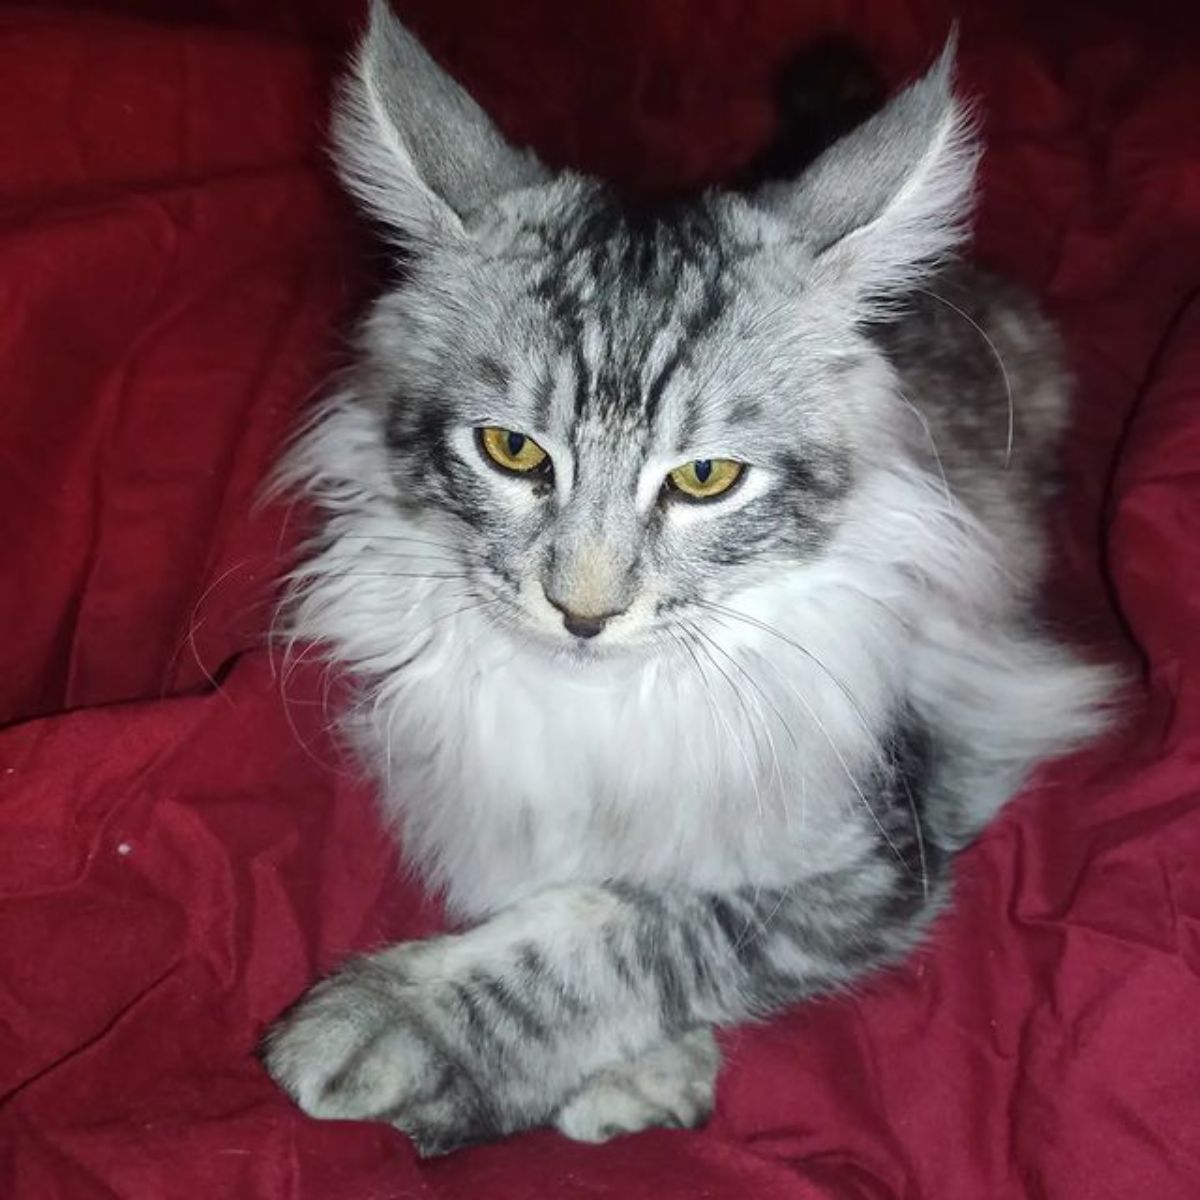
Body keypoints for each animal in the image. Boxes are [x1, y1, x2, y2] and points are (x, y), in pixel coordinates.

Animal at [265, 2, 1113, 1161]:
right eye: (512, 452)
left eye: (706, 478)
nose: (583, 613)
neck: (602, 705)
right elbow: (578, 896)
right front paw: (647, 1072)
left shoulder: (884, 847)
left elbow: (629, 925)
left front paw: (395, 1026)